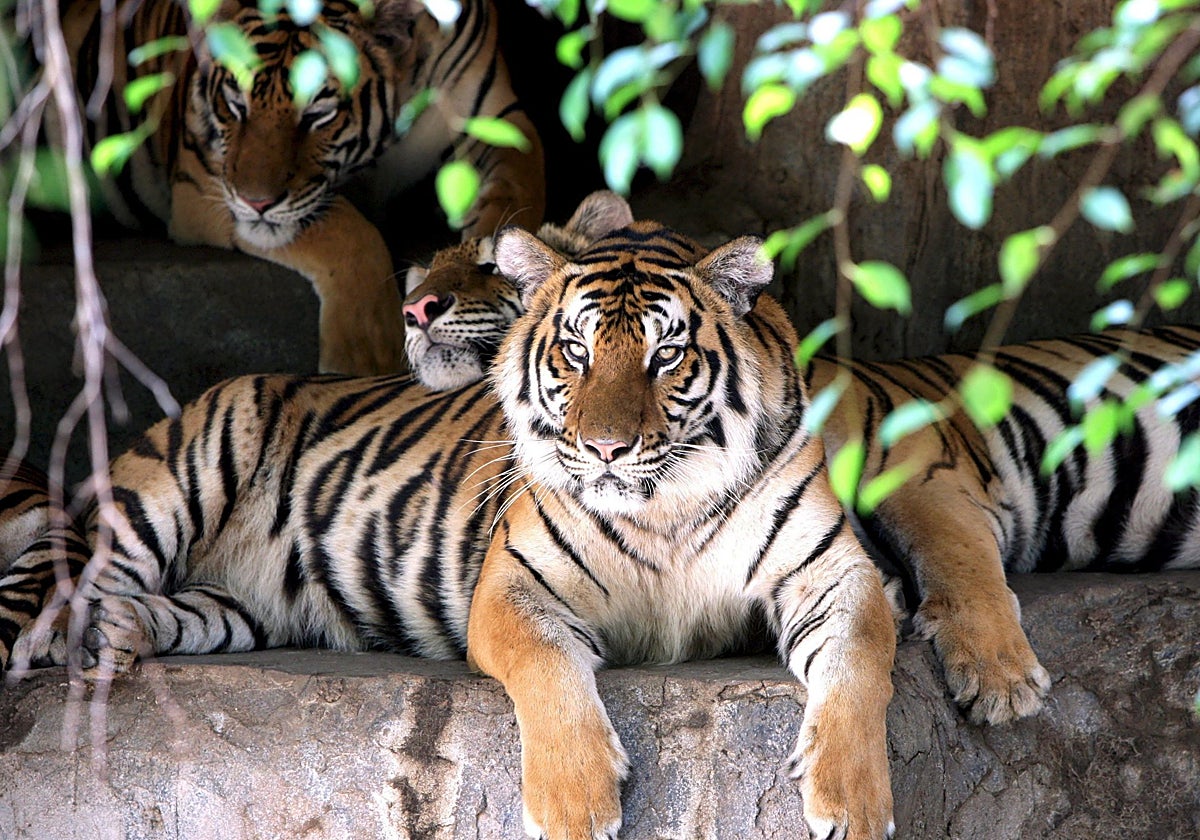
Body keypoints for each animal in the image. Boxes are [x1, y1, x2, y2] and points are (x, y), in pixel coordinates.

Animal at [0, 214, 898, 840]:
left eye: (665, 356)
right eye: (575, 352)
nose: (605, 448)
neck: (663, 507)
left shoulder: (836, 572)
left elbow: (859, 662)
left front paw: (854, 806)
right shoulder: (513, 586)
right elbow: (549, 671)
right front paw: (576, 806)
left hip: (242, 608)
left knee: (154, 612)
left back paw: (120, 634)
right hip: (181, 474)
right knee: (74, 590)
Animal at [46, 0, 545, 375]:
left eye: (318, 114)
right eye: (235, 105)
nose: (255, 201)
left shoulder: (499, 120)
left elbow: (515, 197)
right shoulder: (201, 172)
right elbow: (347, 233)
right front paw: (366, 355)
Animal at [397, 190, 1200, 726]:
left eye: (488, 267)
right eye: (574, 349)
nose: (414, 309)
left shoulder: (920, 470)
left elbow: (961, 561)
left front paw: (1000, 678)